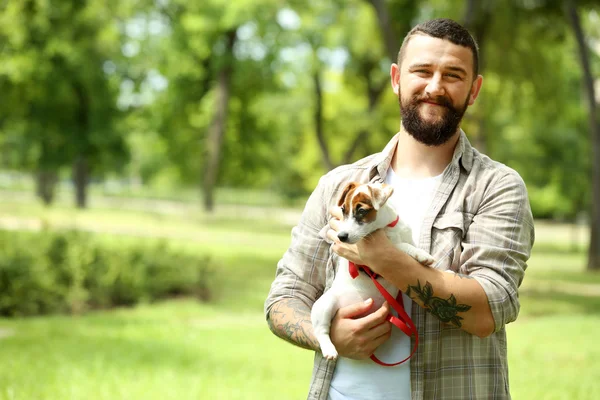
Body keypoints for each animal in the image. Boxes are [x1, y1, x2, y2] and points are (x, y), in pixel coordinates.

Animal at [312, 181, 434, 360]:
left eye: (361, 211)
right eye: (343, 210)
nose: (341, 236)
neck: (388, 228)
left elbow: (409, 245)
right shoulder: (385, 252)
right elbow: (403, 247)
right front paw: (422, 254)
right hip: (324, 306)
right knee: (321, 330)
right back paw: (329, 350)